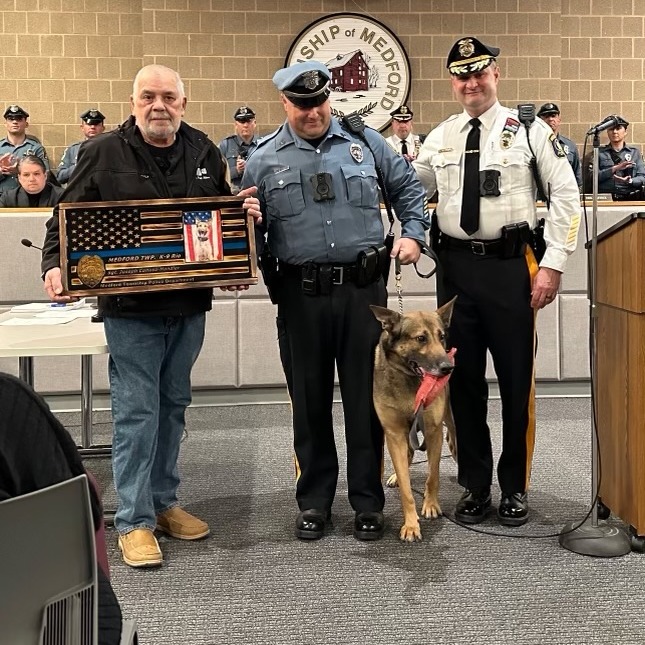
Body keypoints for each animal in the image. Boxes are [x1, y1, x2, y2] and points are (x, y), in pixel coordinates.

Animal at [370, 300, 456, 540]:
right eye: (421, 338)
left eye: (442, 336)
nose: (448, 368)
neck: (410, 379)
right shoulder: (395, 434)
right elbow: (407, 489)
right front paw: (410, 524)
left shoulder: (433, 431)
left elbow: (433, 475)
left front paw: (431, 505)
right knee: (406, 459)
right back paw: (395, 477)